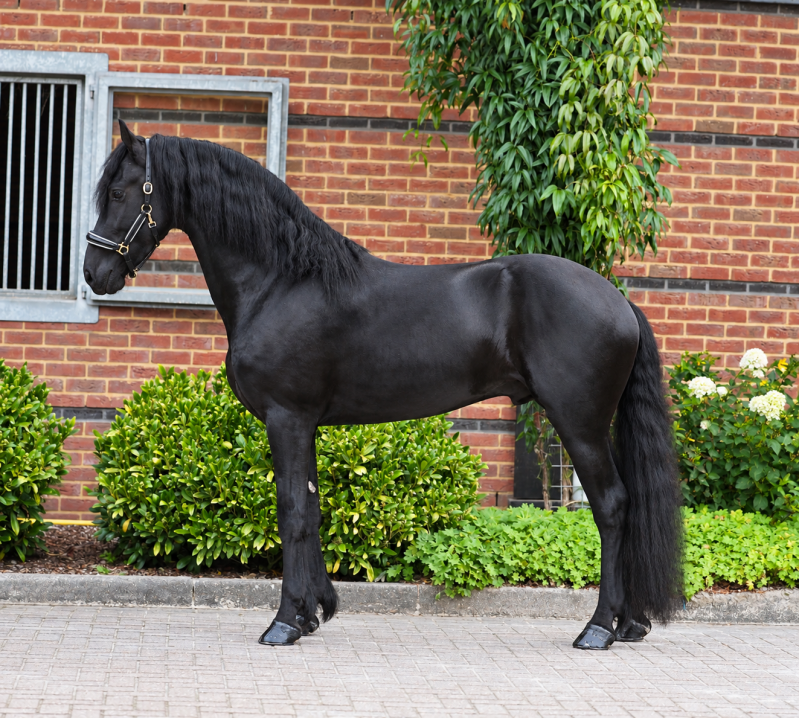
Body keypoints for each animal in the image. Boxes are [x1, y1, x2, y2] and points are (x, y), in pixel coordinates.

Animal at [83, 121, 682, 650]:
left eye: (117, 191)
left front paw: (283, 623)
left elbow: (290, 512)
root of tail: (618, 300)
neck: (281, 281)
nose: (93, 274)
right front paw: (315, 612)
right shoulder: (307, 424)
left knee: (612, 507)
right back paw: (630, 623)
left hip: (579, 424)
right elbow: (312, 508)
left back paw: (599, 628)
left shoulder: (286, 418)